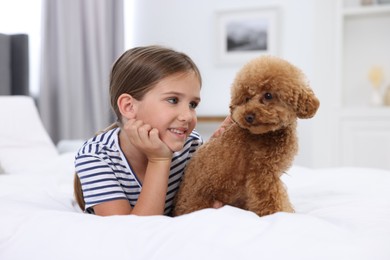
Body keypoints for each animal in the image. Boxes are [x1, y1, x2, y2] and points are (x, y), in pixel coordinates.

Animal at [174, 56, 320, 217]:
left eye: (268, 95)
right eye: (246, 99)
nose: (248, 116)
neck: (269, 133)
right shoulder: (262, 173)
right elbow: (271, 200)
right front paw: (279, 214)